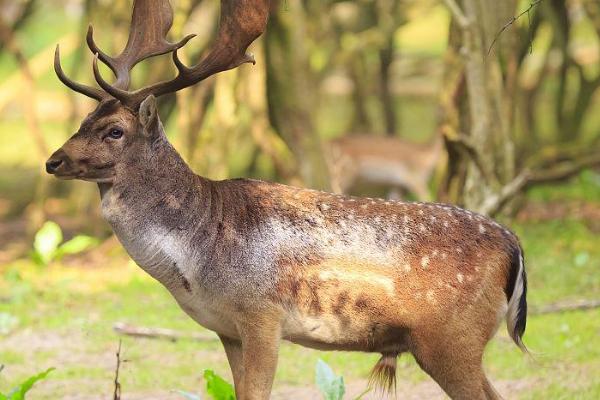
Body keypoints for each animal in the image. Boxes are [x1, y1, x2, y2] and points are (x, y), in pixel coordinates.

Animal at [45, 1, 524, 398]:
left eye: (114, 131)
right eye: (84, 120)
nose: (53, 160)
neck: (196, 261)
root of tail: (514, 245)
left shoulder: (262, 315)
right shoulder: (227, 328)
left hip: (451, 339)